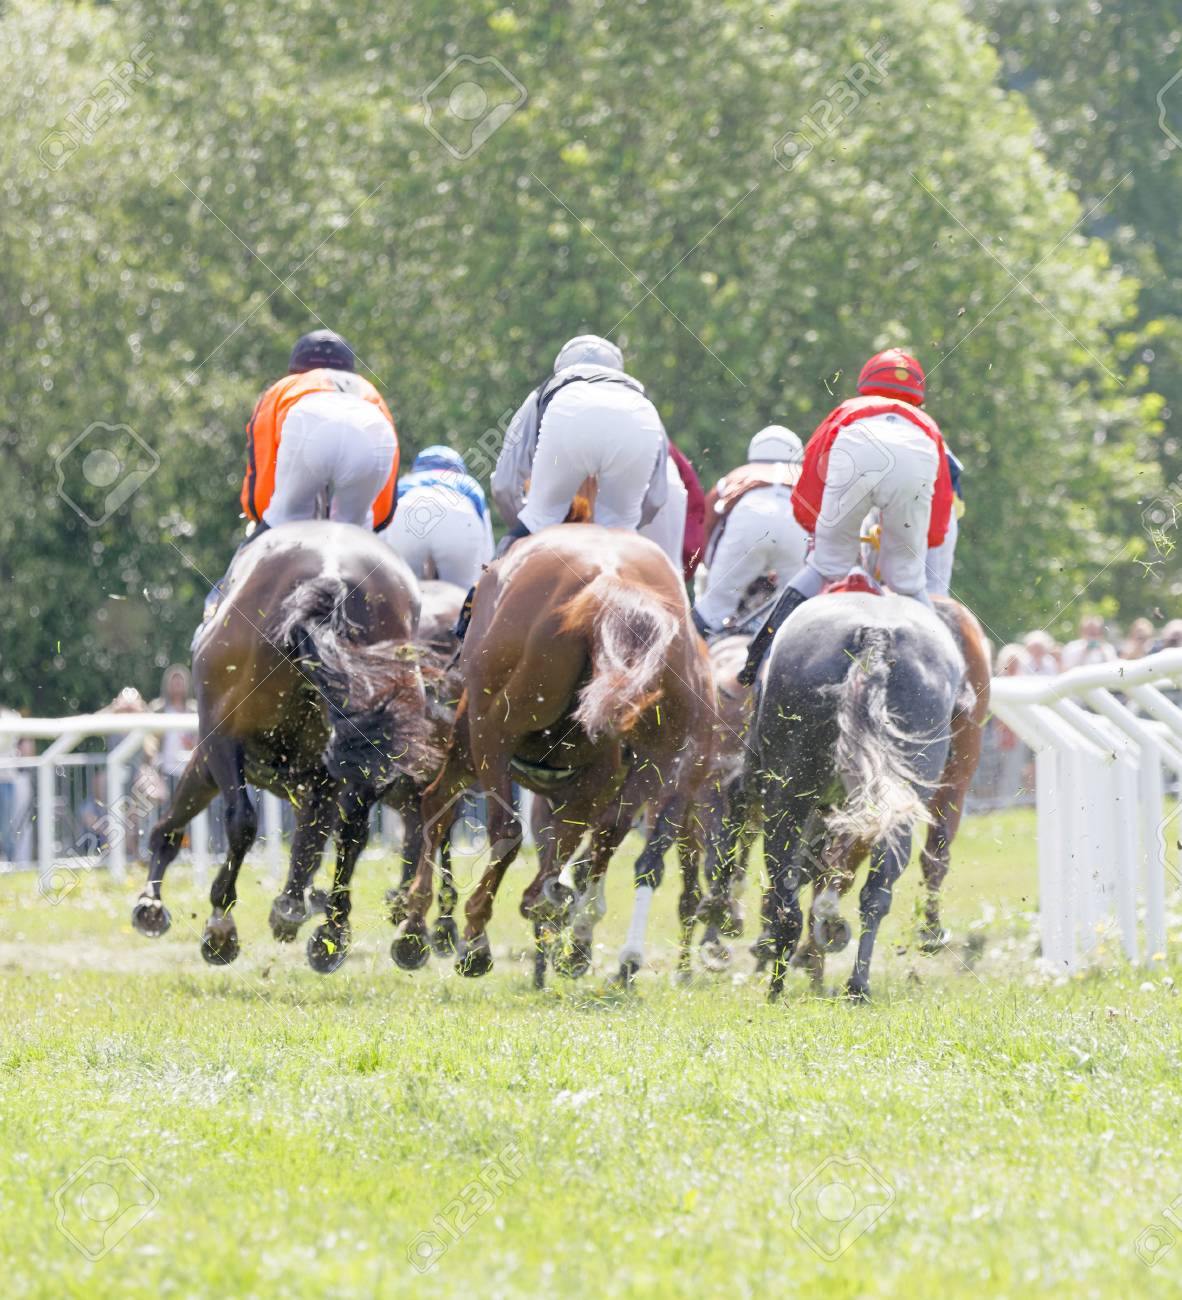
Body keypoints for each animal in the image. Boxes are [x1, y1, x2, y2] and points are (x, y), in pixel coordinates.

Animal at [130, 521, 432, 972]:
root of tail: (329, 572)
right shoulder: (323, 774)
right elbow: (313, 838)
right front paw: (294, 906)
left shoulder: (213, 750)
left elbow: (178, 824)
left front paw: (153, 902)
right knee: (354, 830)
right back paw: (333, 933)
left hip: (223, 741)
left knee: (240, 821)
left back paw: (221, 924)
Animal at [390, 524, 715, 983]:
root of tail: (609, 584)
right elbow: (578, 842)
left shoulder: (481, 735)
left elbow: (452, 813)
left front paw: (424, 924)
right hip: (657, 762)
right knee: (602, 837)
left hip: (488, 733)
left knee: (488, 822)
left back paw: (464, 935)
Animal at [751, 591, 971, 1000]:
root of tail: (875, 634)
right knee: (875, 892)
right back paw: (856, 984)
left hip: (789, 799)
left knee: (787, 894)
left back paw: (779, 985)